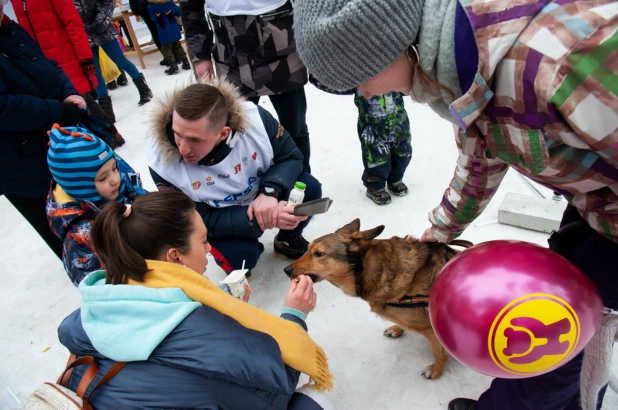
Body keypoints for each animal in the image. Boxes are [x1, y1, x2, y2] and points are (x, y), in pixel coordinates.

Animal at [282, 219, 460, 380]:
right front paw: (397, 328)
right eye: (307, 249)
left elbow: (439, 353)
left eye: (319, 254)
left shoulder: (431, 329)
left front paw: (436, 370)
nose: (286, 270)